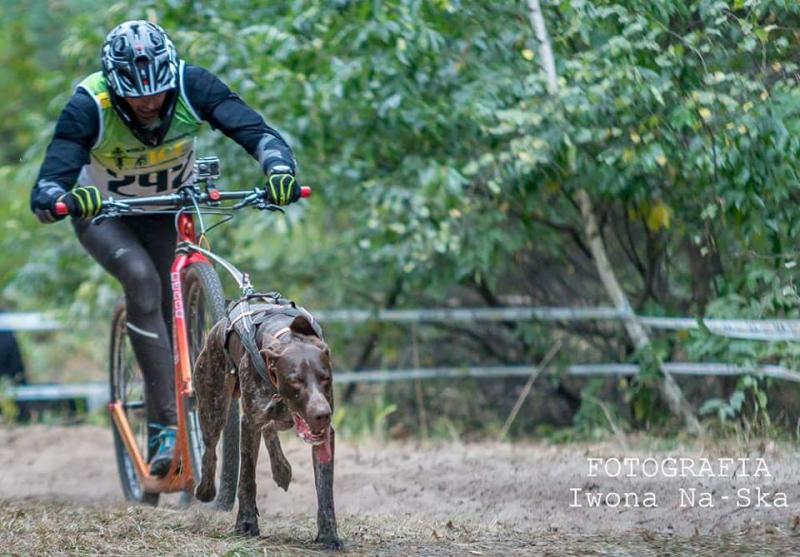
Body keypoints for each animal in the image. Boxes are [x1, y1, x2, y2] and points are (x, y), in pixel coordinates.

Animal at [192, 296, 340, 548]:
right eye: (295, 380)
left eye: (325, 378)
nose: (322, 414)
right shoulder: (250, 423)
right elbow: (246, 479)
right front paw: (246, 524)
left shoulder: (324, 433)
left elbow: (325, 488)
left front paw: (329, 534)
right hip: (213, 403)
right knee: (210, 449)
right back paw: (206, 489)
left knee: (271, 430)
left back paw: (281, 469)